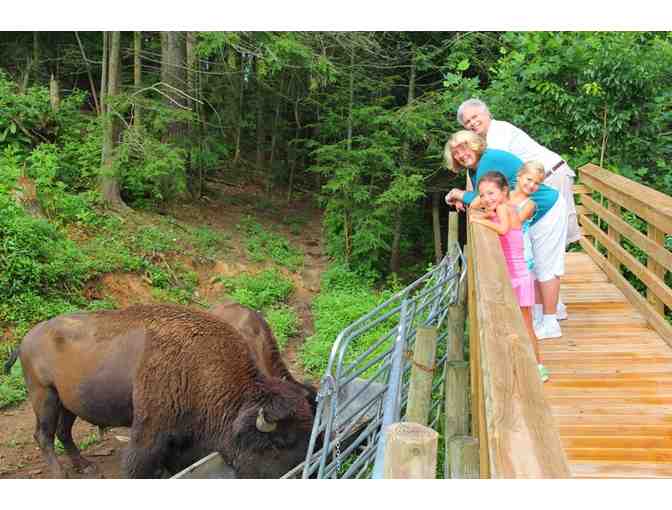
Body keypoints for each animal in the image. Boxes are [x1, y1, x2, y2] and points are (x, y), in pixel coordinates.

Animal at [4, 302, 316, 478]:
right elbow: (138, 463)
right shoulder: (150, 427)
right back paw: (60, 475)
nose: (303, 470)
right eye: (278, 443)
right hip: (44, 396)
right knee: (44, 435)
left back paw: (85, 466)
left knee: (63, 432)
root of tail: (26, 339)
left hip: (69, 402)